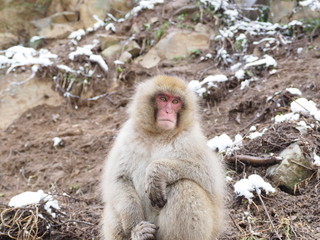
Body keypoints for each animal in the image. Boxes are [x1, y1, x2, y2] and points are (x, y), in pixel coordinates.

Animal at [101, 75, 224, 240]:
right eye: (163, 98)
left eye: (176, 101)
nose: (168, 111)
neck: (157, 135)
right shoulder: (127, 135)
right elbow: (119, 179)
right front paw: (136, 228)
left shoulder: (191, 139)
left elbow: (209, 177)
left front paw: (156, 173)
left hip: (210, 230)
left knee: (185, 185)